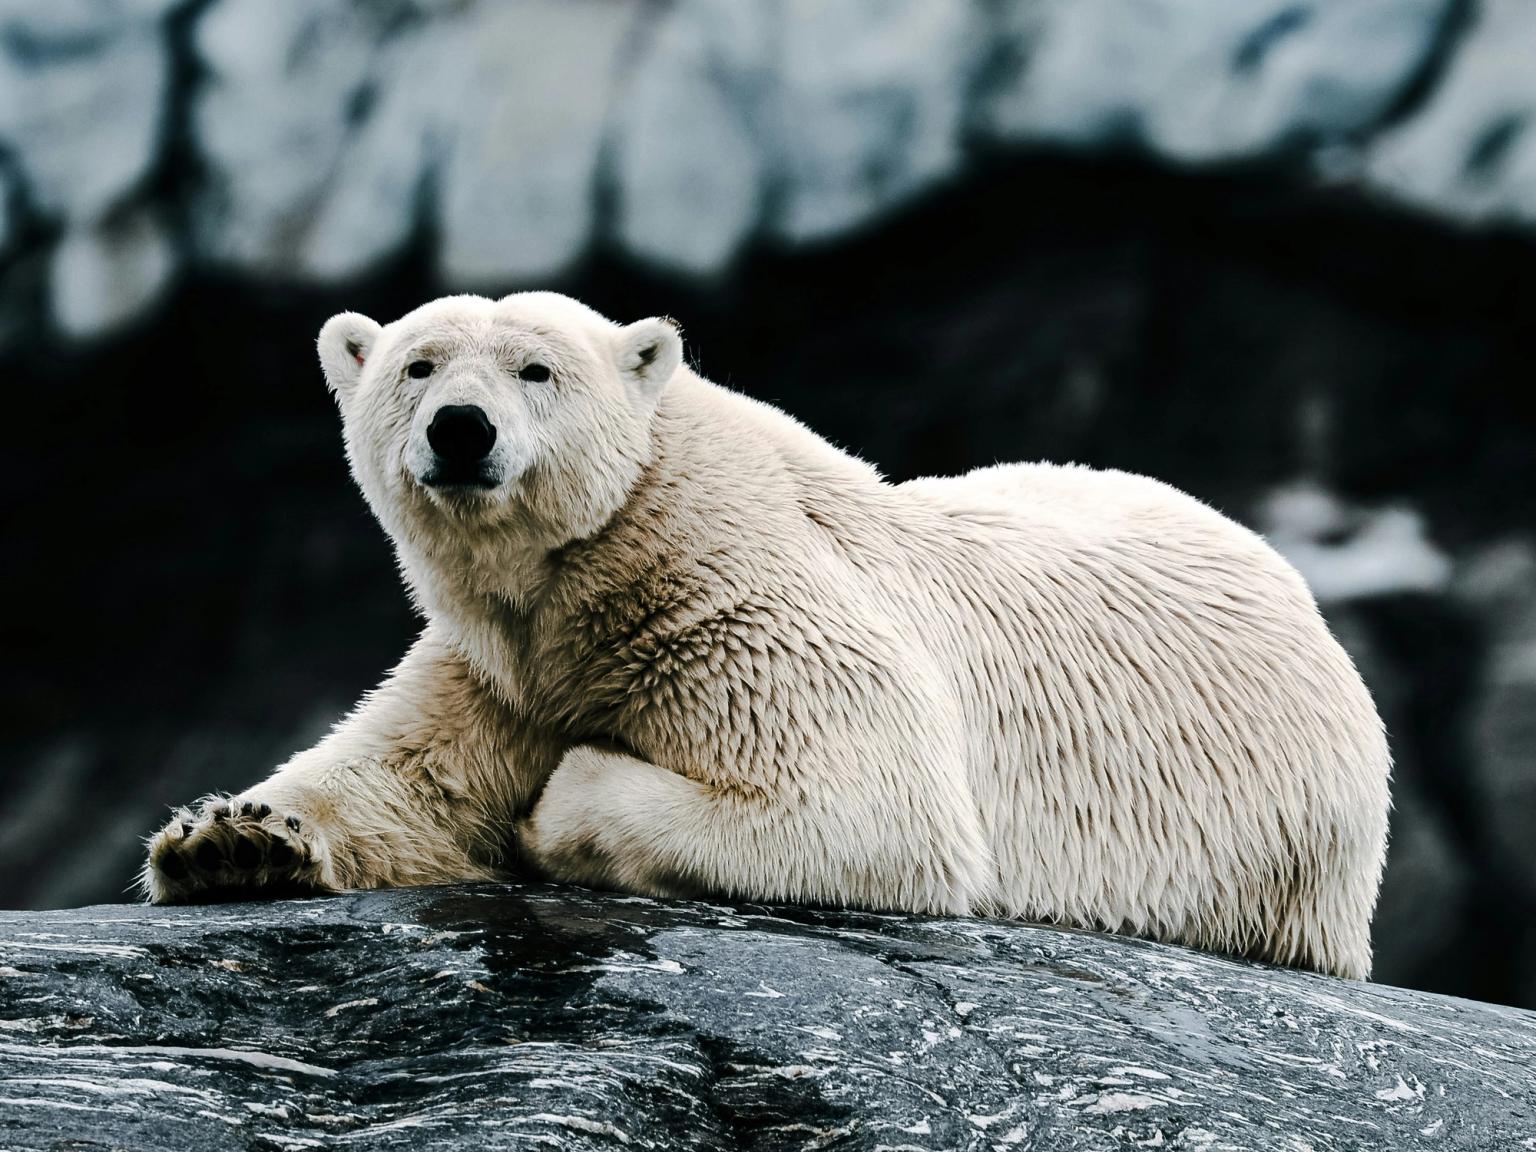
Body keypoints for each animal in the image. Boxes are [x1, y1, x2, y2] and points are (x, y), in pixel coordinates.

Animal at [142, 291, 1391, 979]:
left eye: (536, 369)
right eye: (417, 364)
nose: (460, 429)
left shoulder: (739, 604)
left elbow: (872, 808)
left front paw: (554, 807)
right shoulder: (500, 663)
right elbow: (405, 776)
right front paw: (230, 843)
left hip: (1278, 848)